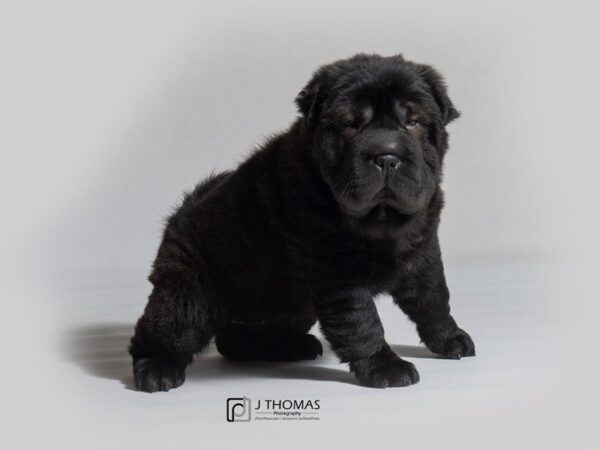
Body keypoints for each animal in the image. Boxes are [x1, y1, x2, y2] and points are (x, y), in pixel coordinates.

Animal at [130, 52, 474, 392]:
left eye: (413, 121)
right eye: (350, 124)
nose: (386, 156)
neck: (381, 223)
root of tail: (178, 216)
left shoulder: (423, 250)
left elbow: (433, 298)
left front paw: (450, 338)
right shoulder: (338, 271)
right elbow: (362, 320)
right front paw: (385, 366)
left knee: (236, 340)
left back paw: (293, 346)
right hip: (186, 298)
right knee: (157, 333)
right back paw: (156, 371)